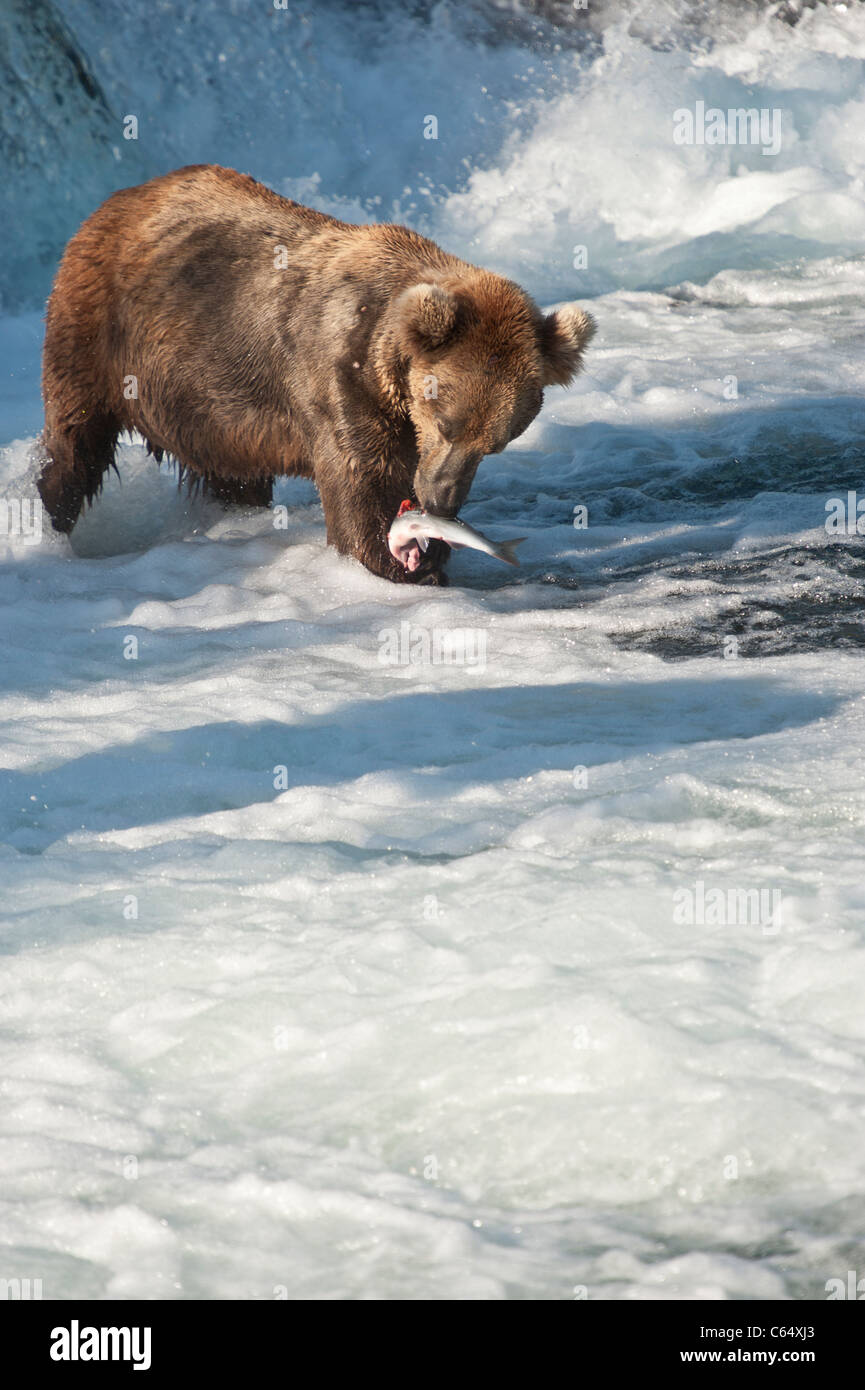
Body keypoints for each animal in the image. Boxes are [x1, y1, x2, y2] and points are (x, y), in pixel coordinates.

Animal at [38, 165, 595, 583]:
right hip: (100, 335)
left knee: (232, 475)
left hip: (212, 406)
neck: (386, 369)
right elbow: (362, 486)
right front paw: (400, 560)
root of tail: (118, 200)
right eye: (446, 423)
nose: (442, 499)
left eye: (496, 443)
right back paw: (48, 524)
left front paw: (430, 549)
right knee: (74, 444)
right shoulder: (337, 382)